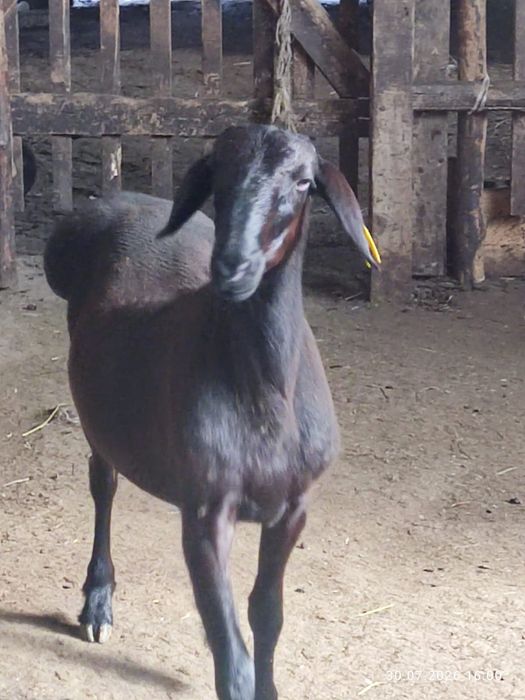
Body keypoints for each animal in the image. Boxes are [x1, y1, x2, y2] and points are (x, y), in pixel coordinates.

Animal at [44, 124, 378, 700]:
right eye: (218, 174)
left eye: (303, 182)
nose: (232, 266)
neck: (264, 396)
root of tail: (119, 197)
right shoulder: (205, 509)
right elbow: (229, 653)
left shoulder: (294, 506)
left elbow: (267, 615)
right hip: (99, 419)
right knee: (103, 485)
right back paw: (98, 602)